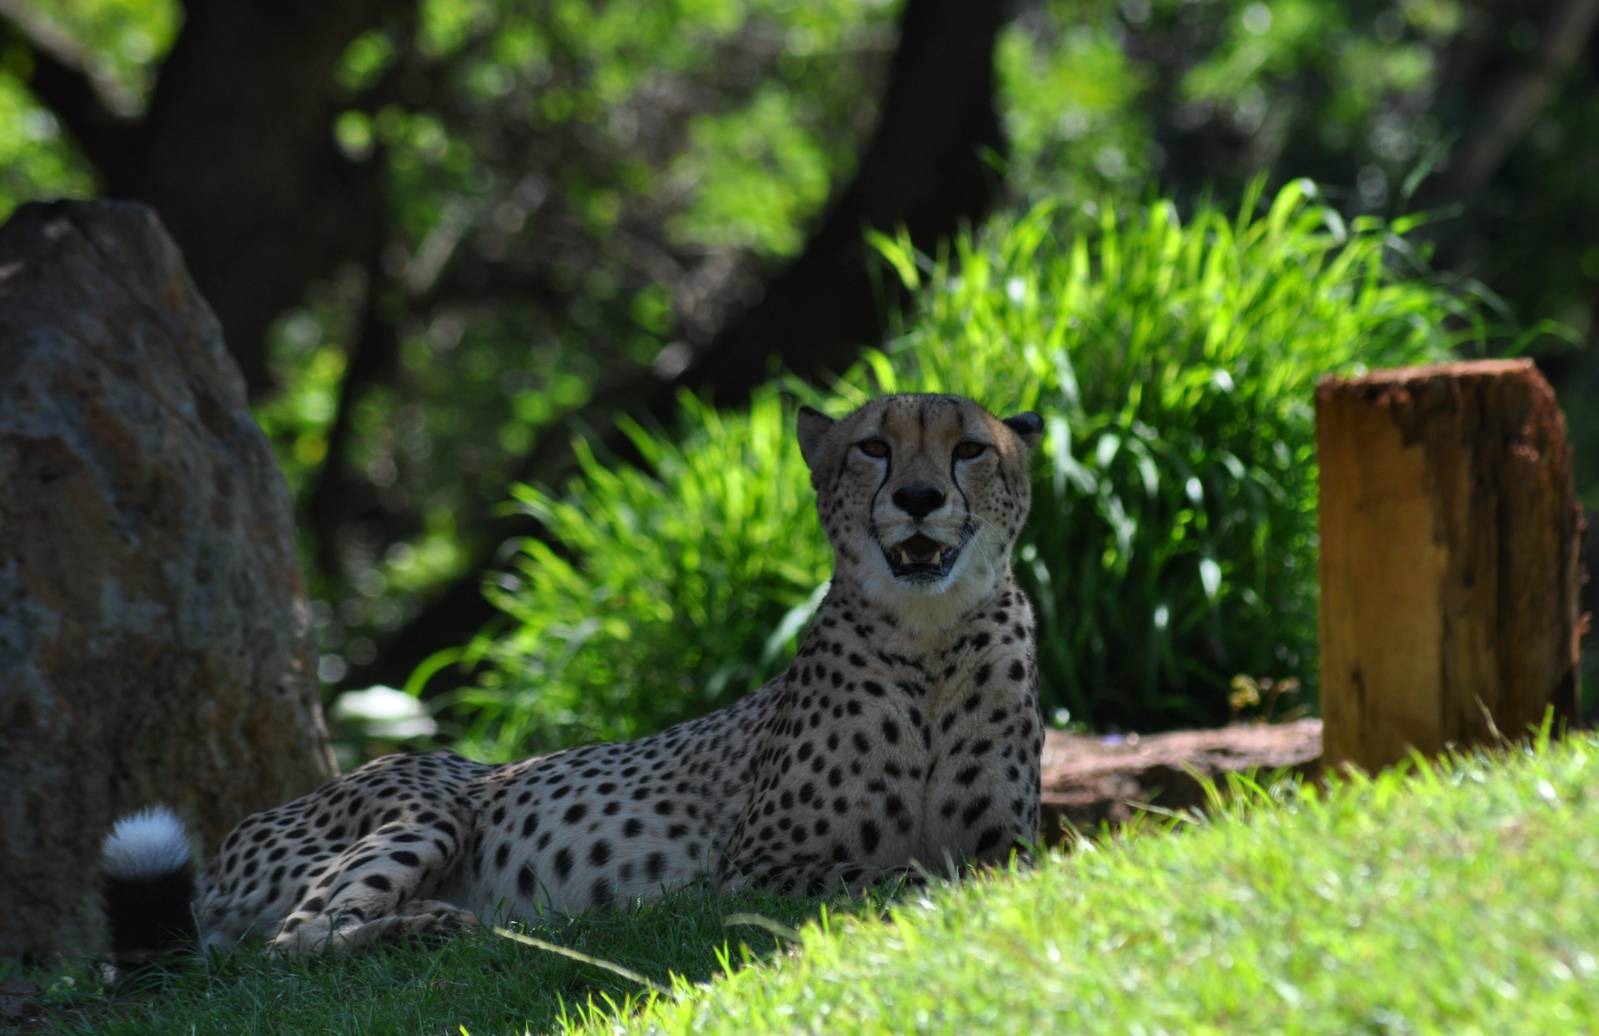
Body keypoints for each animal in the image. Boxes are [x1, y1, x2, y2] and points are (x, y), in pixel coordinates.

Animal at [100, 393, 1046, 965]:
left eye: (968, 449)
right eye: (873, 448)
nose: (919, 498)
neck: (927, 643)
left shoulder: (1010, 840)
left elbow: (982, 864)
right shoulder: (754, 868)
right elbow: (902, 874)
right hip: (430, 800)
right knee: (293, 942)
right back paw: (435, 926)